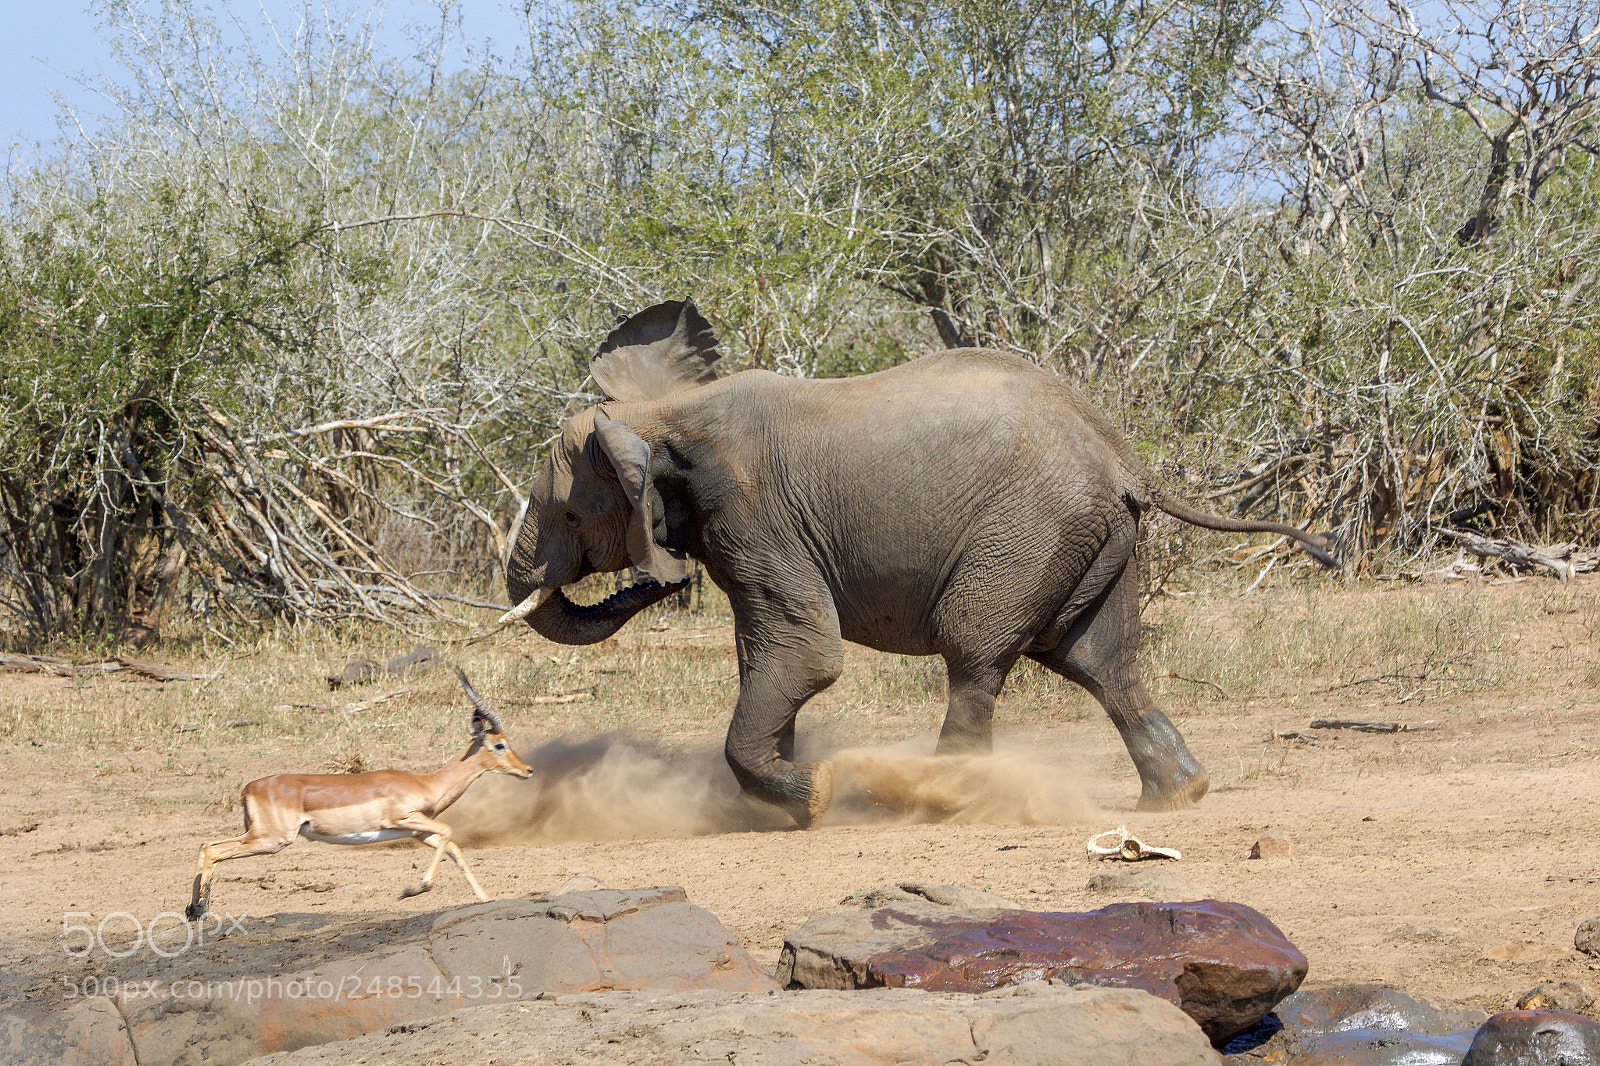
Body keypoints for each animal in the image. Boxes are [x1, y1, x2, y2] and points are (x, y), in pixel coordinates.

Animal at [502, 300, 1338, 826]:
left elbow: (805, 655)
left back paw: (948, 798)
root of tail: (1122, 457)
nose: (650, 580)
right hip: (1095, 537)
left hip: (1026, 532)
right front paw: (777, 802)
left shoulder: (754, 513)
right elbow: (765, 655)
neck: (663, 416)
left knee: (977, 651)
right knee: (1098, 659)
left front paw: (811, 798)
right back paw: (1179, 798)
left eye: (570, 514)